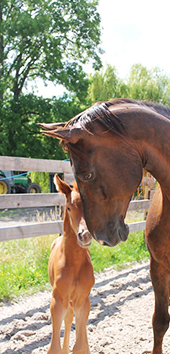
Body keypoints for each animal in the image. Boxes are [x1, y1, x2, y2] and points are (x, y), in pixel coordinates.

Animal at [47, 174, 94, 354]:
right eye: (68, 208)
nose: (85, 235)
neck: (73, 263)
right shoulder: (58, 300)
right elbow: (54, 347)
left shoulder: (82, 299)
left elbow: (80, 346)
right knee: (68, 317)